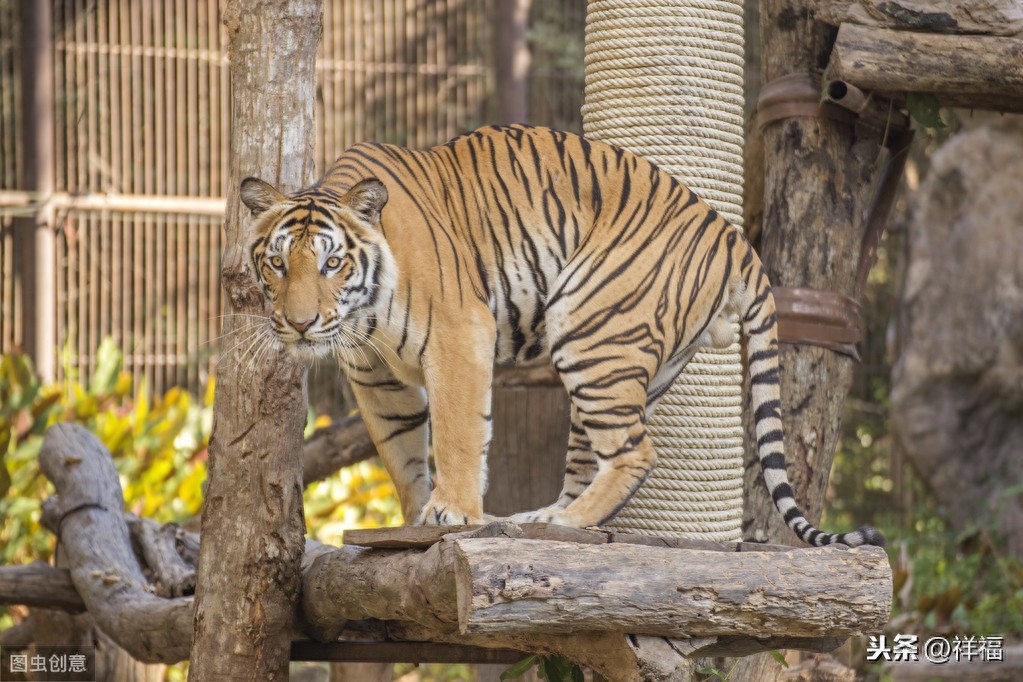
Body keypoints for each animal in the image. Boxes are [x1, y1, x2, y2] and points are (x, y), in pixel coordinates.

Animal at [239, 123, 883, 547]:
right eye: (277, 264)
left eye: (331, 264)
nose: (300, 323)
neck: (362, 316)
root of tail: (735, 241)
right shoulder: (375, 377)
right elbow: (401, 452)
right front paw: (417, 515)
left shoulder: (457, 332)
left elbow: (456, 433)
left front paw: (453, 513)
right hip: (620, 364)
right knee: (596, 457)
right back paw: (541, 518)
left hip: (588, 330)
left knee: (636, 452)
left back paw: (561, 524)